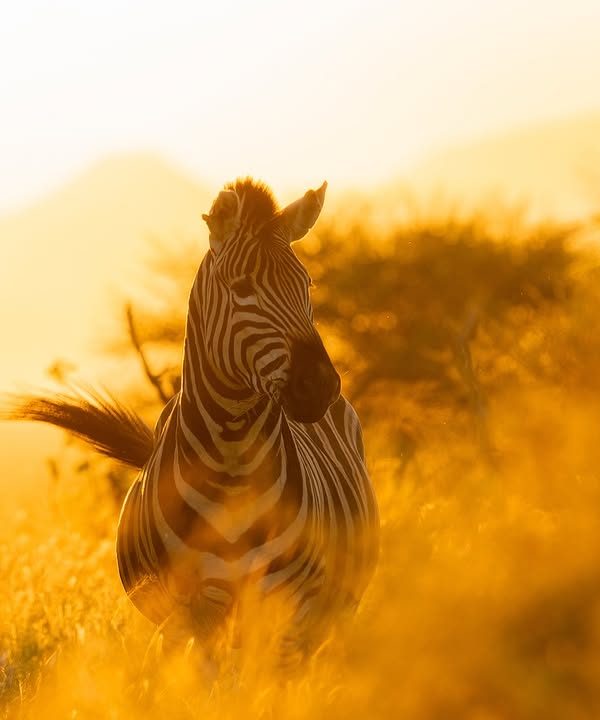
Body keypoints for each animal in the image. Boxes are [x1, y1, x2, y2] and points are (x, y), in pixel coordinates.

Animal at [5, 178, 380, 668]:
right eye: (241, 288)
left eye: (308, 284)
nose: (319, 387)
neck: (233, 462)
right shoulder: (190, 615)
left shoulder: (286, 608)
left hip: (329, 607)